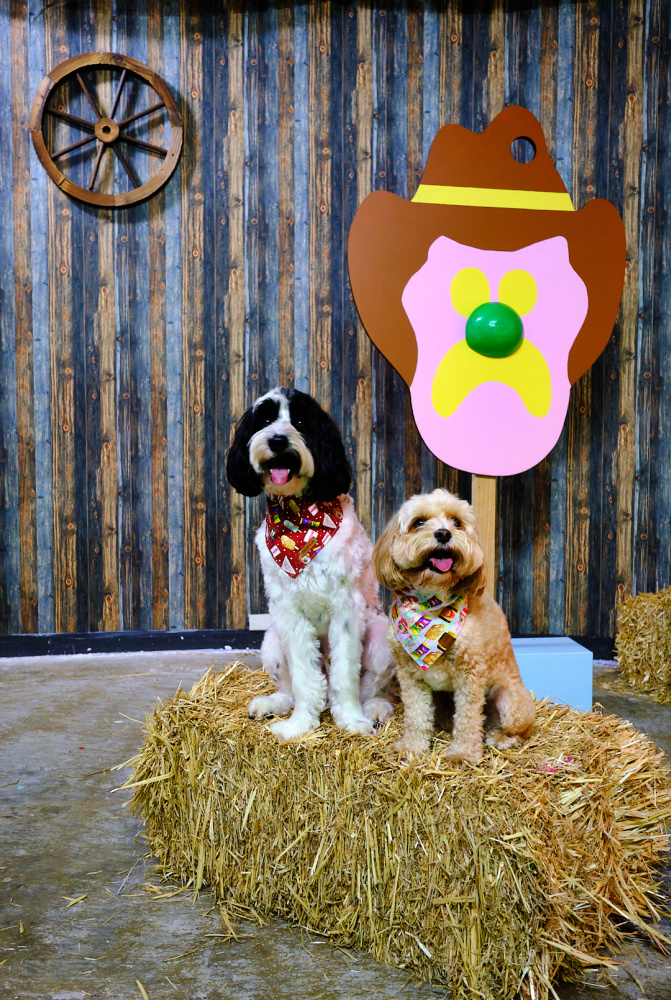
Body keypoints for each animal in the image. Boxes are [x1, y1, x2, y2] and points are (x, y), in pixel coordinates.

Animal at [227, 388, 394, 744]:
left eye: (301, 422)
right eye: (265, 419)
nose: (277, 440)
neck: (299, 514)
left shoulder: (347, 609)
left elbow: (346, 675)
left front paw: (353, 721)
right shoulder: (289, 611)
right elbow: (304, 678)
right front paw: (300, 726)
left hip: (379, 636)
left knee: (372, 686)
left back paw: (375, 708)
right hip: (272, 642)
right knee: (290, 687)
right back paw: (272, 703)